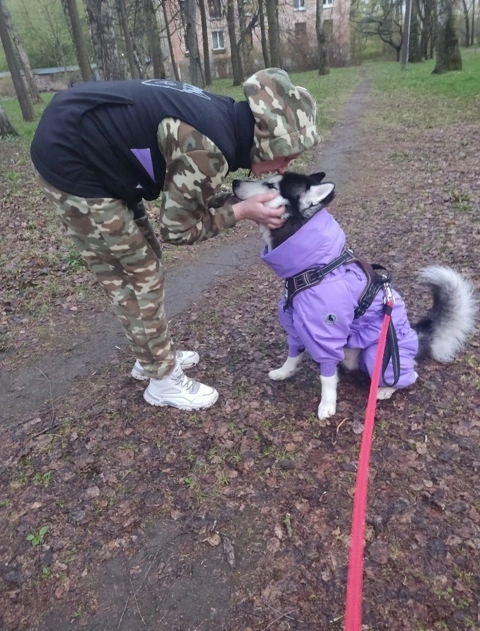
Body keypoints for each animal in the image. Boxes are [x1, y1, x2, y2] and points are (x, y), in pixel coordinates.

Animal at [232, 173, 476, 420]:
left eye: (271, 186)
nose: (234, 182)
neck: (314, 265)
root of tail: (417, 338)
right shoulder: (296, 325)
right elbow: (293, 355)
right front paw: (284, 372)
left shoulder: (326, 332)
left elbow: (326, 377)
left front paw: (327, 404)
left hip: (378, 353)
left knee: (409, 376)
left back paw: (385, 389)